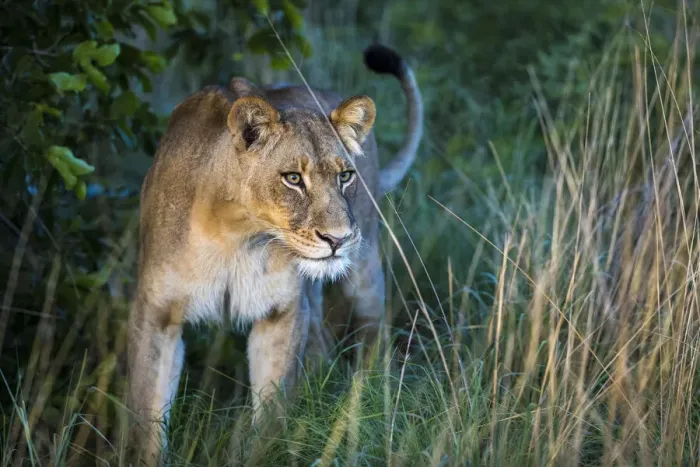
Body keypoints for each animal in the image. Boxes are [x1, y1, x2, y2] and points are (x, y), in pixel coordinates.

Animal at [126, 43, 423, 464]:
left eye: (345, 175)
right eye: (293, 178)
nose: (338, 239)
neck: (236, 235)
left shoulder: (283, 311)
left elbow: (270, 414)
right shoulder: (155, 313)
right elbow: (147, 418)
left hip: (363, 272)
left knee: (373, 334)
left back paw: (368, 399)